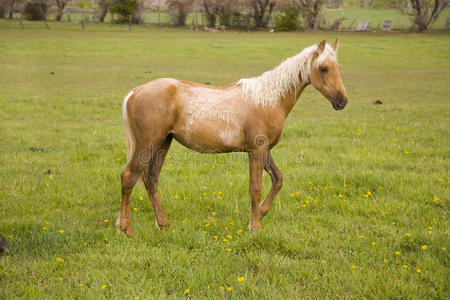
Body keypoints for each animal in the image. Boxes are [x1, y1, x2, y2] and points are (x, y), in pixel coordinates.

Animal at [117, 40, 348, 237]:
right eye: (323, 68)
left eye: (338, 67)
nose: (342, 101)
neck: (268, 100)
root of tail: (134, 93)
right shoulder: (257, 150)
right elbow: (255, 189)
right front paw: (255, 227)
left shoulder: (264, 150)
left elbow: (278, 179)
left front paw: (260, 213)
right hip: (148, 143)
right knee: (129, 177)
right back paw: (126, 229)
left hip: (163, 143)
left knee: (151, 179)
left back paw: (163, 224)